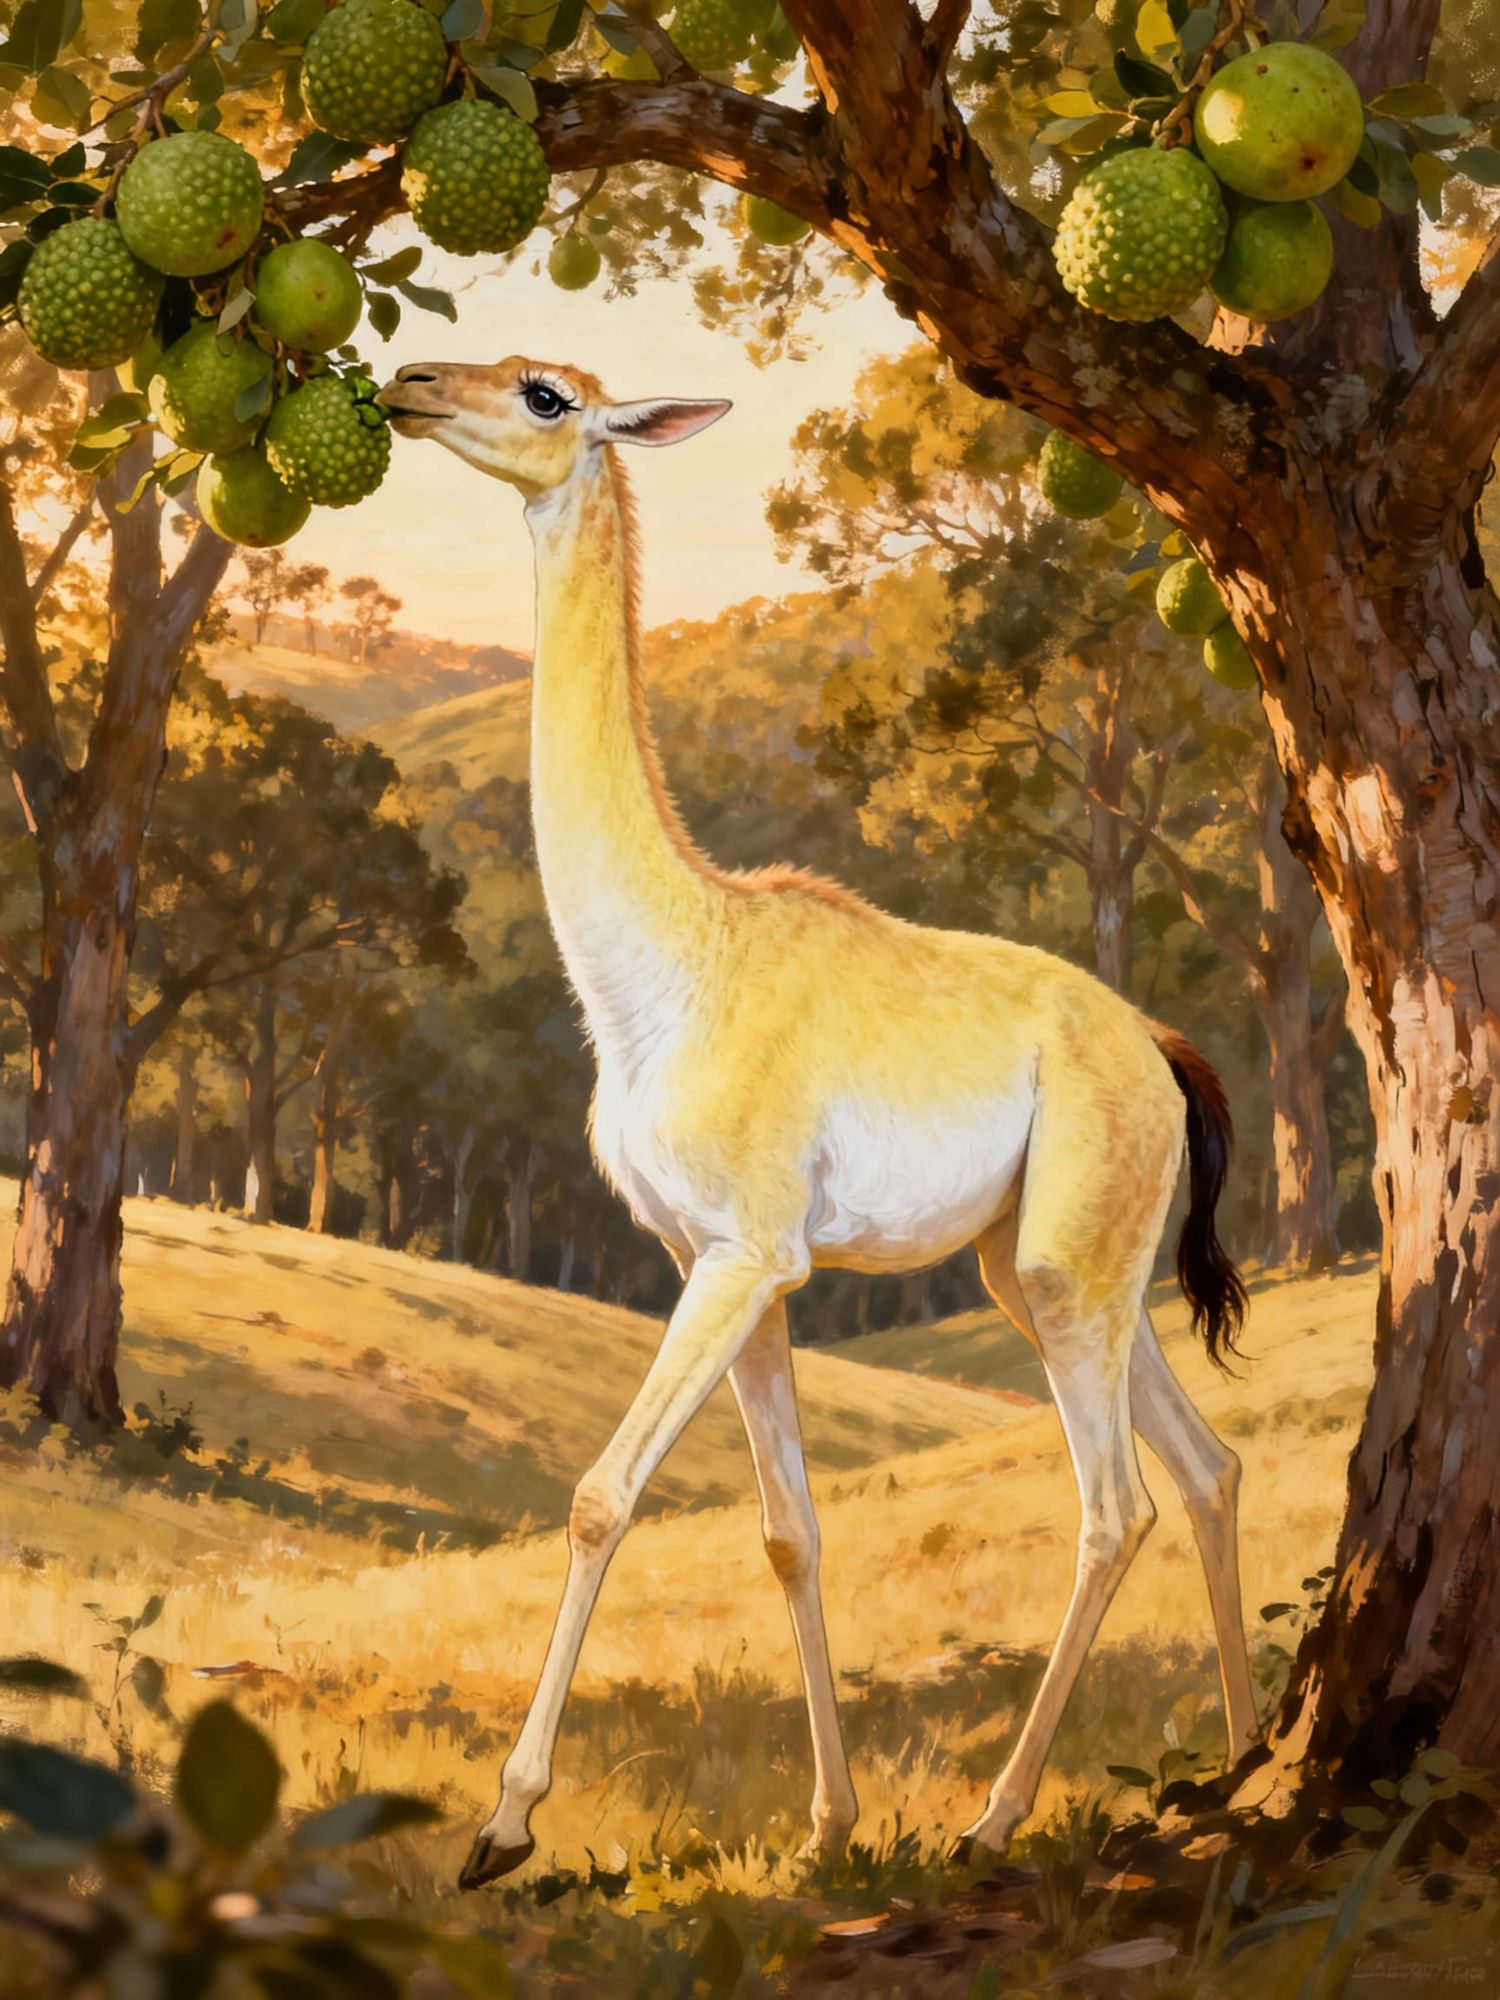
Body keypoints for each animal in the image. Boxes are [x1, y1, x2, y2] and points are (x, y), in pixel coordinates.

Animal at [377, 357, 1261, 1890]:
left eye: (544, 392)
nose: (409, 383)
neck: (661, 975)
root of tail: (1160, 1051)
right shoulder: (722, 1263)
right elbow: (790, 1531)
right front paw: (824, 1826)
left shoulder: (747, 1254)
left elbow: (602, 1492)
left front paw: (502, 1826)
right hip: (1064, 1274)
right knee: (1209, 1467)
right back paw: (1243, 1756)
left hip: (1062, 1276)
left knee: (1118, 1505)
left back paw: (996, 1817)